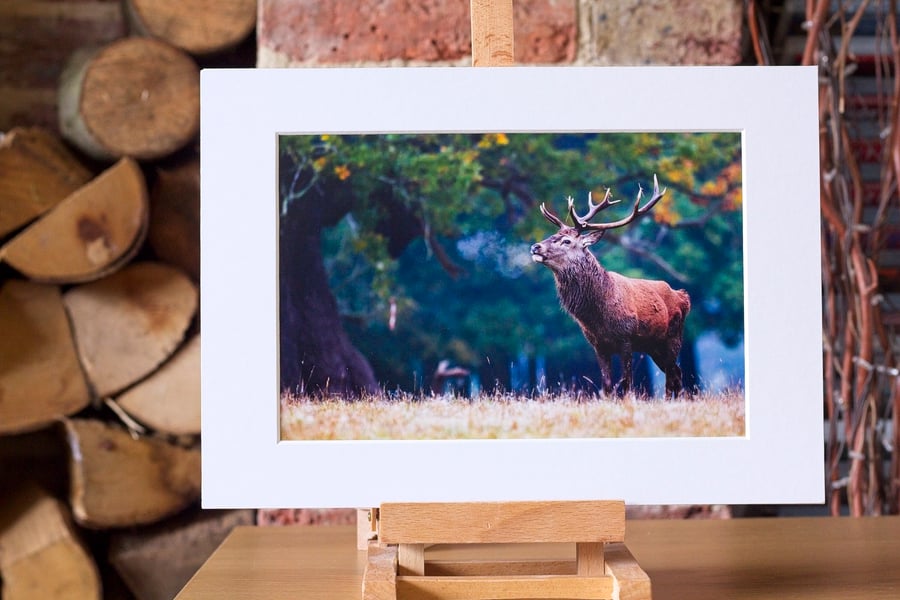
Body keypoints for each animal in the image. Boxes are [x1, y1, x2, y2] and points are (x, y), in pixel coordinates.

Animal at [530, 175, 691, 399]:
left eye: (566, 241)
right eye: (553, 235)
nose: (535, 246)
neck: (598, 315)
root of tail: (684, 297)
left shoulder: (626, 339)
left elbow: (627, 383)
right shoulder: (598, 345)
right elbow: (606, 385)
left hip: (673, 337)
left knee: (671, 375)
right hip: (653, 345)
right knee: (675, 372)